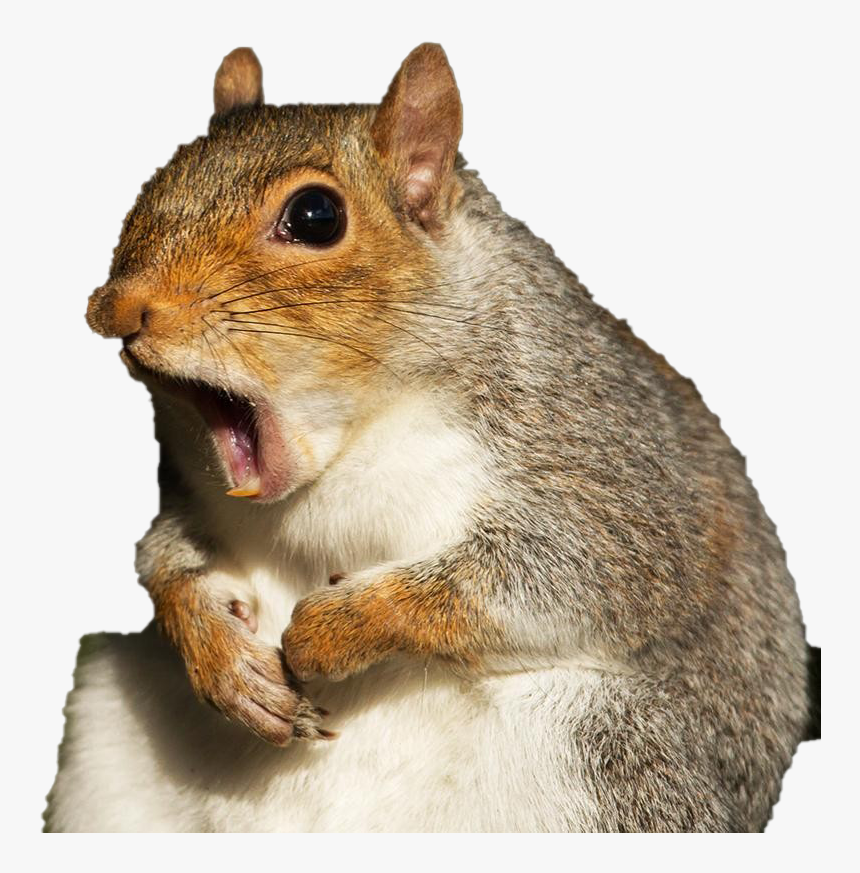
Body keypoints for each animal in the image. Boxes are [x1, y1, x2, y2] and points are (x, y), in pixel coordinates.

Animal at [45, 44, 817, 832]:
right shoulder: (187, 492)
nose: (115, 309)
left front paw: (332, 629)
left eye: (316, 215)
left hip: (613, 759)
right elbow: (165, 558)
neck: (352, 444)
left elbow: (562, 576)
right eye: (157, 179)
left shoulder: (610, 468)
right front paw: (223, 659)